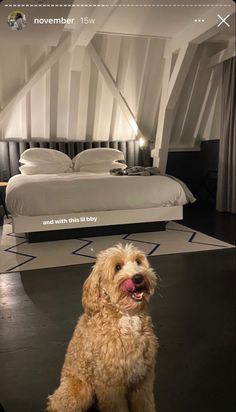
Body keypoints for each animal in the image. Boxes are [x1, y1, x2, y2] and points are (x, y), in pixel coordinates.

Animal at [46, 245, 158, 412]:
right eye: (117, 267)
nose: (138, 277)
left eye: (138, 262)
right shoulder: (110, 385)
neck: (127, 317)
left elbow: (144, 403)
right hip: (80, 391)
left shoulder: (143, 379)